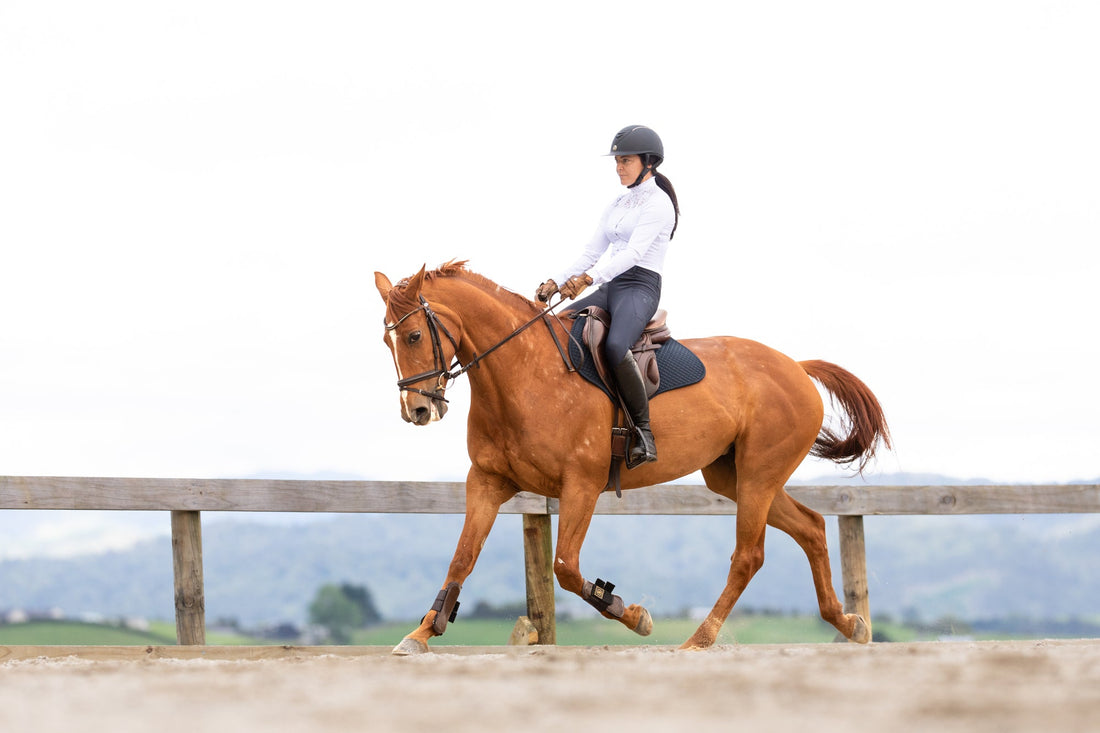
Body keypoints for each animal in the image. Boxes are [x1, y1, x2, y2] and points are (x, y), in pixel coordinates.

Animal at [375, 260, 890, 654]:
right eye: (387, 341)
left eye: (415, 336)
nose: (416, 410)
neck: (523, 375)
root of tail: (797, 368)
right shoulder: (487, 481)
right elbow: (461, 560)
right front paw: (420, 634)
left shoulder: (581, 485)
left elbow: (566, 567)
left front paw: (633, 614)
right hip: (734, 477)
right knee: (811, 527)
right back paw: (849, 624)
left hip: (759, 476)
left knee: (749, 556)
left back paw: (699, 640)